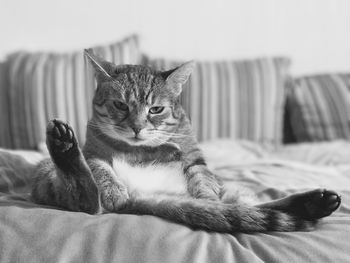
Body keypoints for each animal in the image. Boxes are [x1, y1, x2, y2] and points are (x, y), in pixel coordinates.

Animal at [31, 49, 340, 233]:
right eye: (120, 105)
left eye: (156, 109)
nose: (137, 128)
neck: (139, 151)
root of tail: (145, 196)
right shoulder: (93, 152)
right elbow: (101, 169)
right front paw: (112, 189)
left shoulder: (194, 158)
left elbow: (201, 181)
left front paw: (206, 199)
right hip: (48, 174)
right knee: (84, 195)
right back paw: (63, 146)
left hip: (232, 192)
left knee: (251, 208)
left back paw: (313, 203)